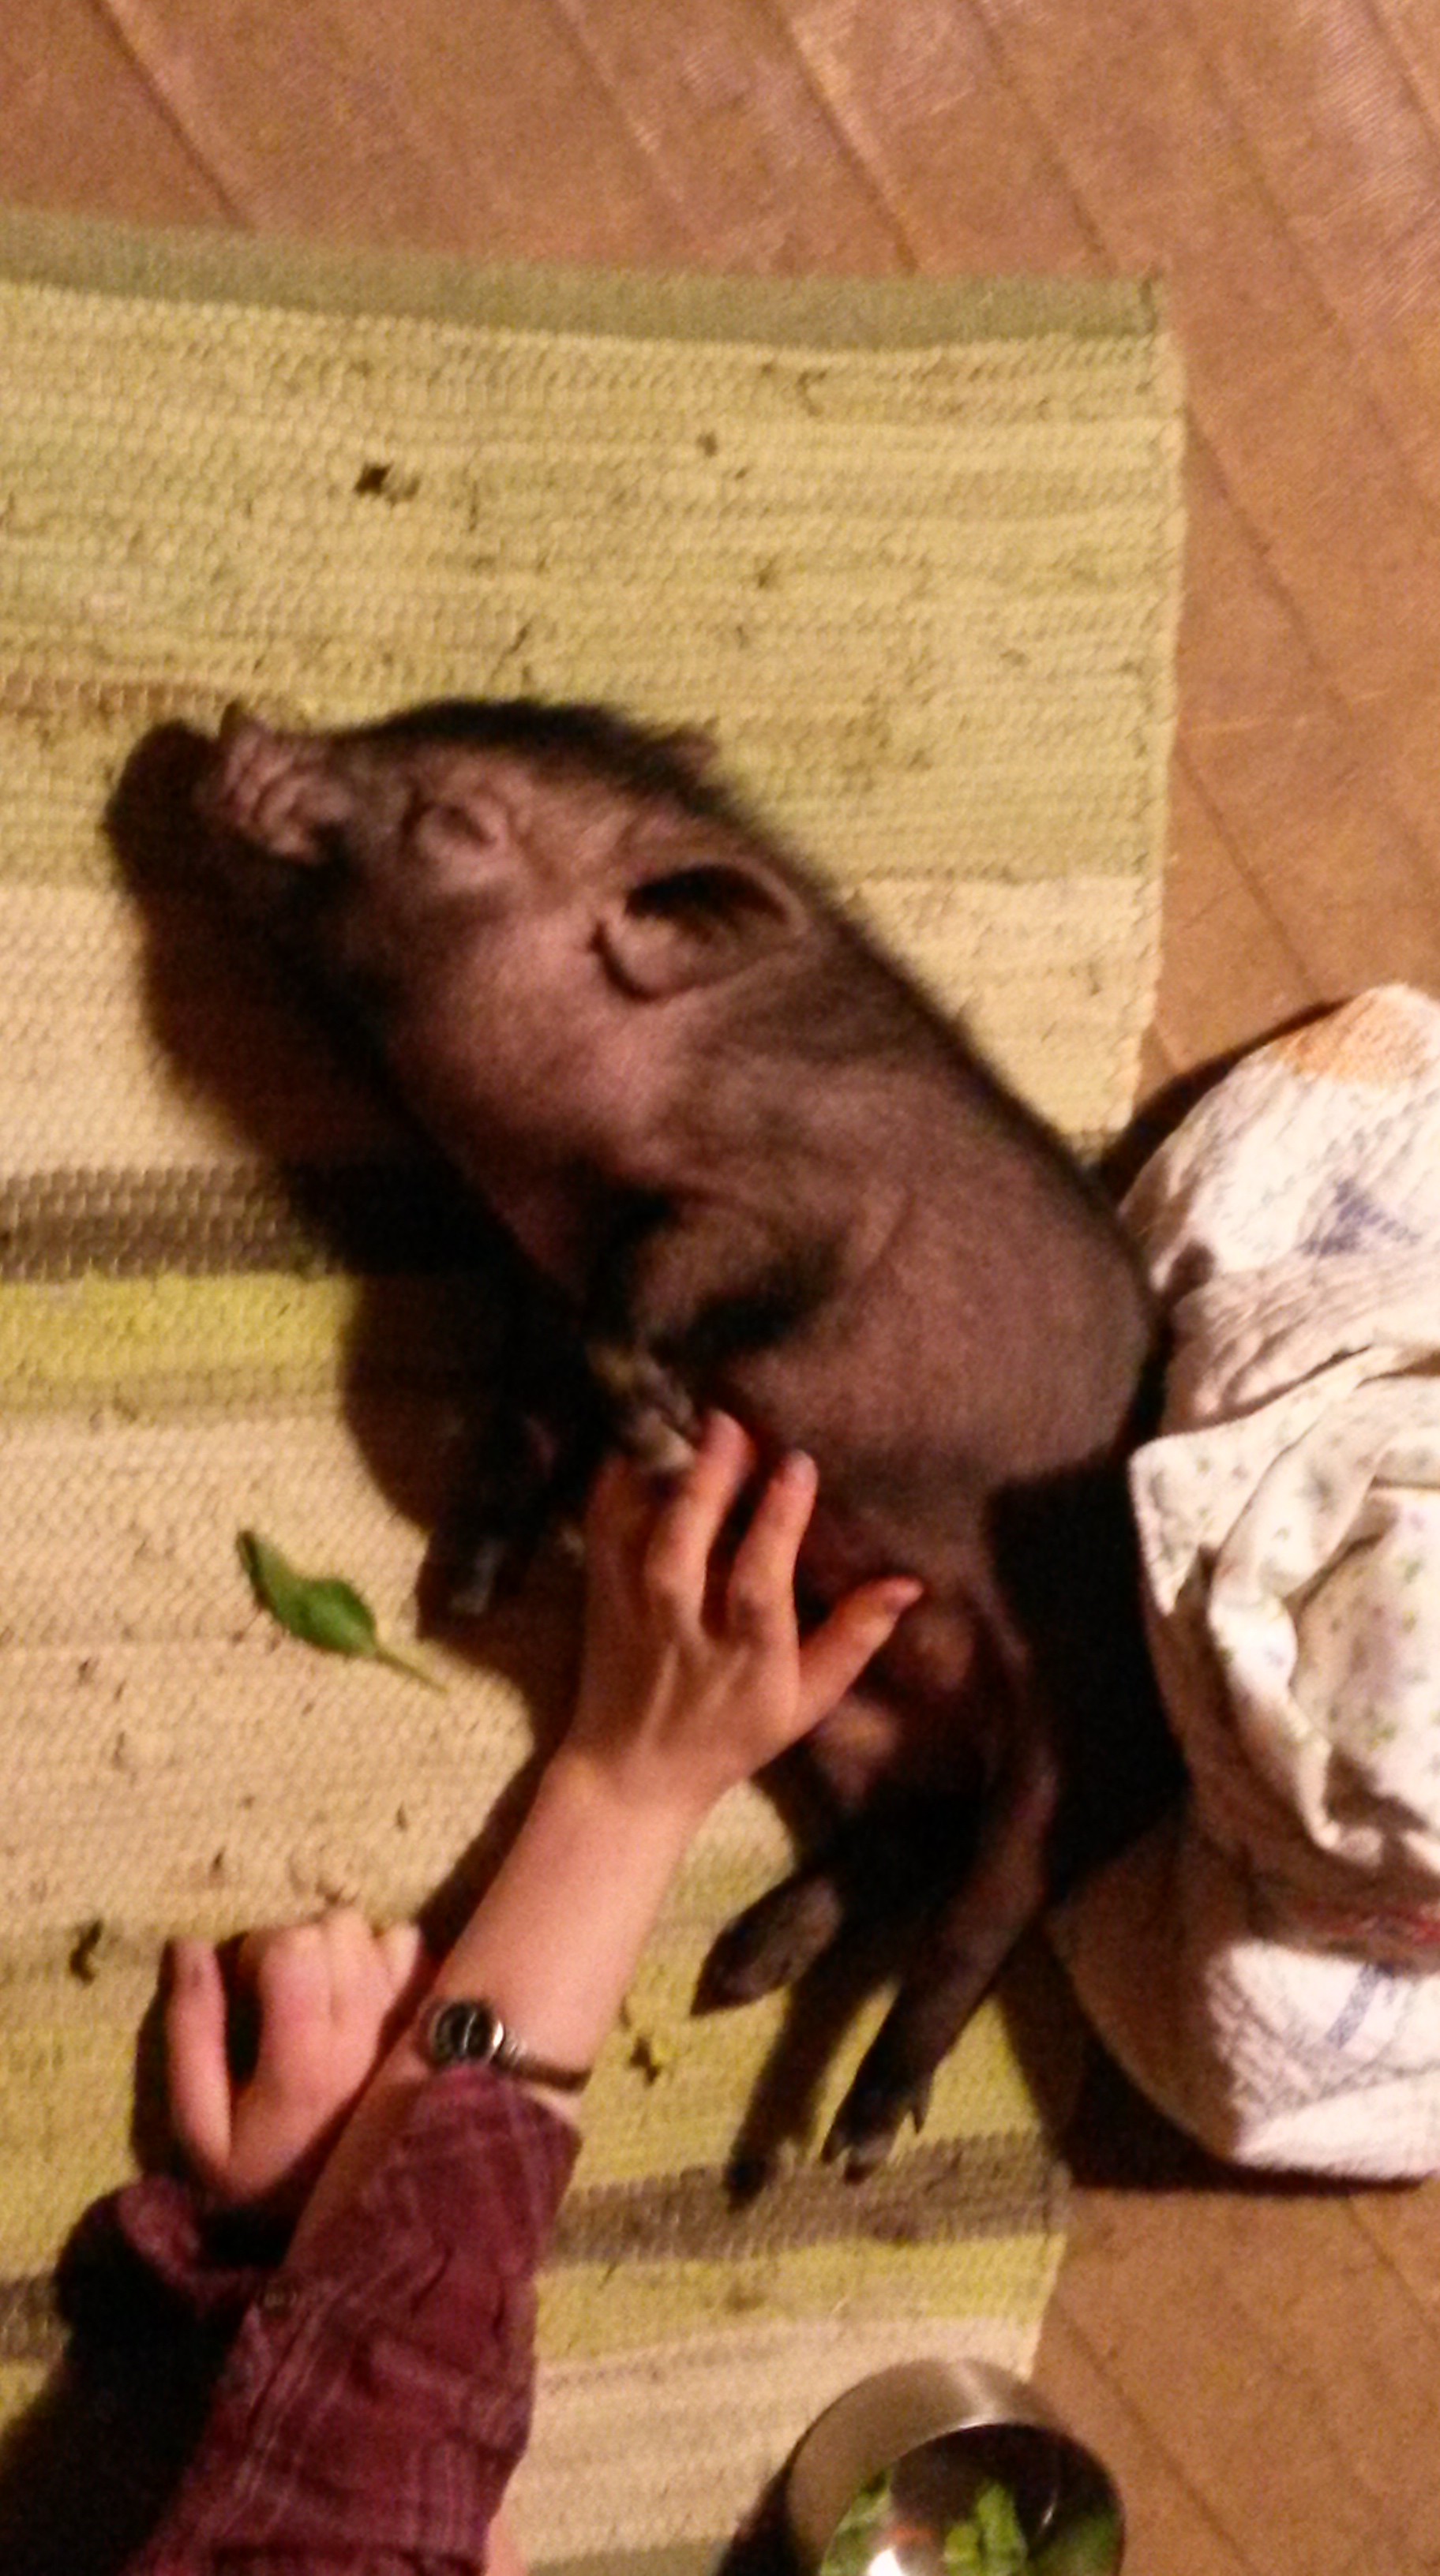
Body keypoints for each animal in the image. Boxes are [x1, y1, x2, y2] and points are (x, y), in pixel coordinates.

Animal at [193, 695, 1174, 2173]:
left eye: (458, 820)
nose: (235, 725)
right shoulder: (538, 1283)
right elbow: (523, 1406)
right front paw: (472, 1580)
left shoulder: (772, 1222)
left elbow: (630, 1318)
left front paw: (658, 1440)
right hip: (849, 1717)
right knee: (898, 1841)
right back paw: (735, 1969)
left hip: (1075, 1749)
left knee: (977, 1926)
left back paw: (854, 2140)